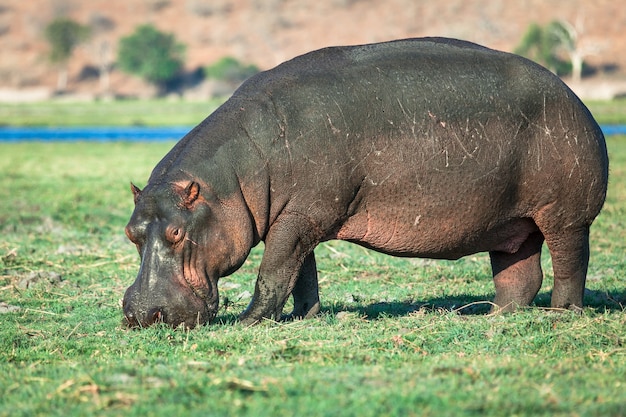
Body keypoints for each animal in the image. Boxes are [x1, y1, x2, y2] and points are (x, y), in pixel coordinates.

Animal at [120, 37, 604, 328]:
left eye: (176, 232)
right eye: (130, 233)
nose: (141, 314)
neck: (235, 177)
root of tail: (573, 95)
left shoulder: (299, 217)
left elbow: (272, 273)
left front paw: (248, 322)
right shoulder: (298, 218)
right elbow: (301, 273)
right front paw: (308, 317)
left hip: (565, 216)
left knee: (570, 262)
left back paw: (563, 314)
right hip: (510, 223)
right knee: (520, 275)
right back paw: (489, 317)